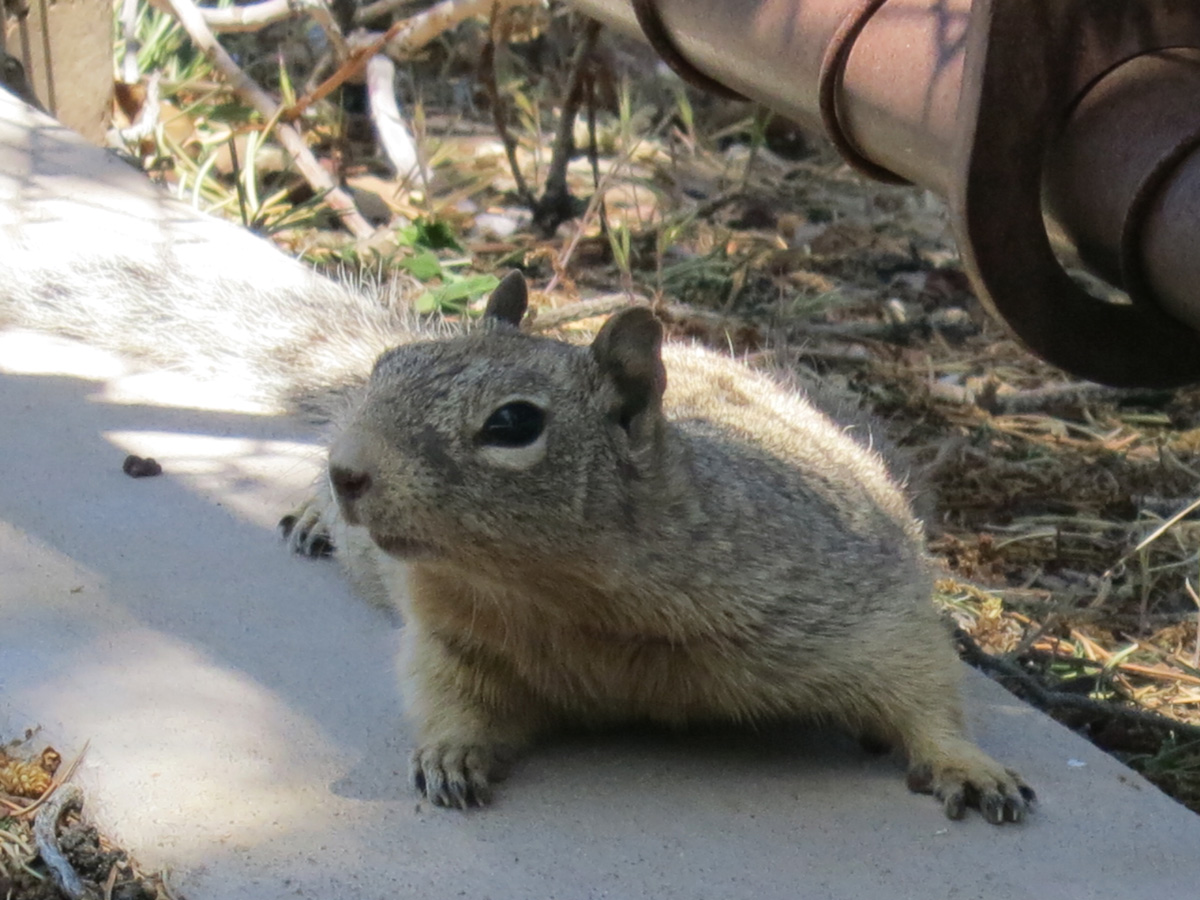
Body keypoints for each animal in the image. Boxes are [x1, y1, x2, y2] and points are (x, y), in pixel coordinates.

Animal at [285, 273, 1036, 825]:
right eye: (389, 364)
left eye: (513, 423)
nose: (348, 472)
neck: (552, 592)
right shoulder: (452, 638)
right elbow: (448, 695)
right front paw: (449, 756)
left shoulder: (847, 598)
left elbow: (918, 678)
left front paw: (966, 763)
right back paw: (312, 514)